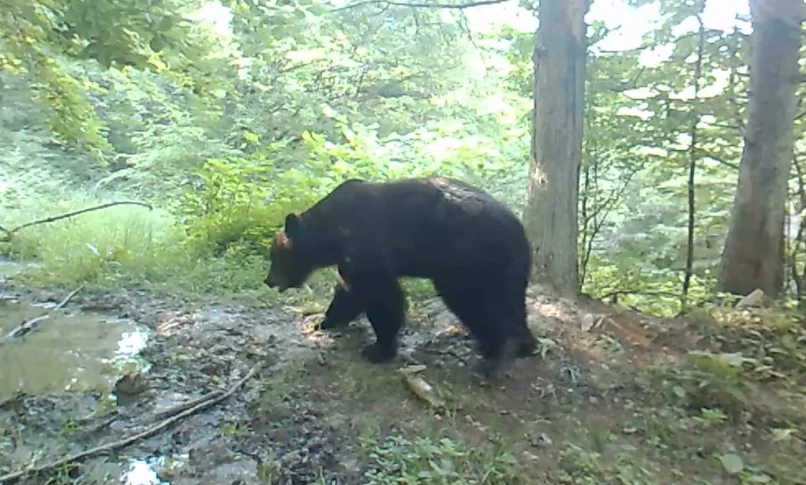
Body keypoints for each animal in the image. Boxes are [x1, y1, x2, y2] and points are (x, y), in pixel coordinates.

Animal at [266, 178, 540, 378]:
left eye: (275, 256)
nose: (268, 281)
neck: (332, 233)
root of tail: (516, 227)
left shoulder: (365, 243)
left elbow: (381, 295)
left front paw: (378, 349)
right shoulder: (350, 257)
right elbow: (350, 291)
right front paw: (326, 320)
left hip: (466, 260)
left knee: (476, 304)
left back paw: (492, 355)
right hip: (509, 268)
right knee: (512, 304)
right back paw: (525, 344)